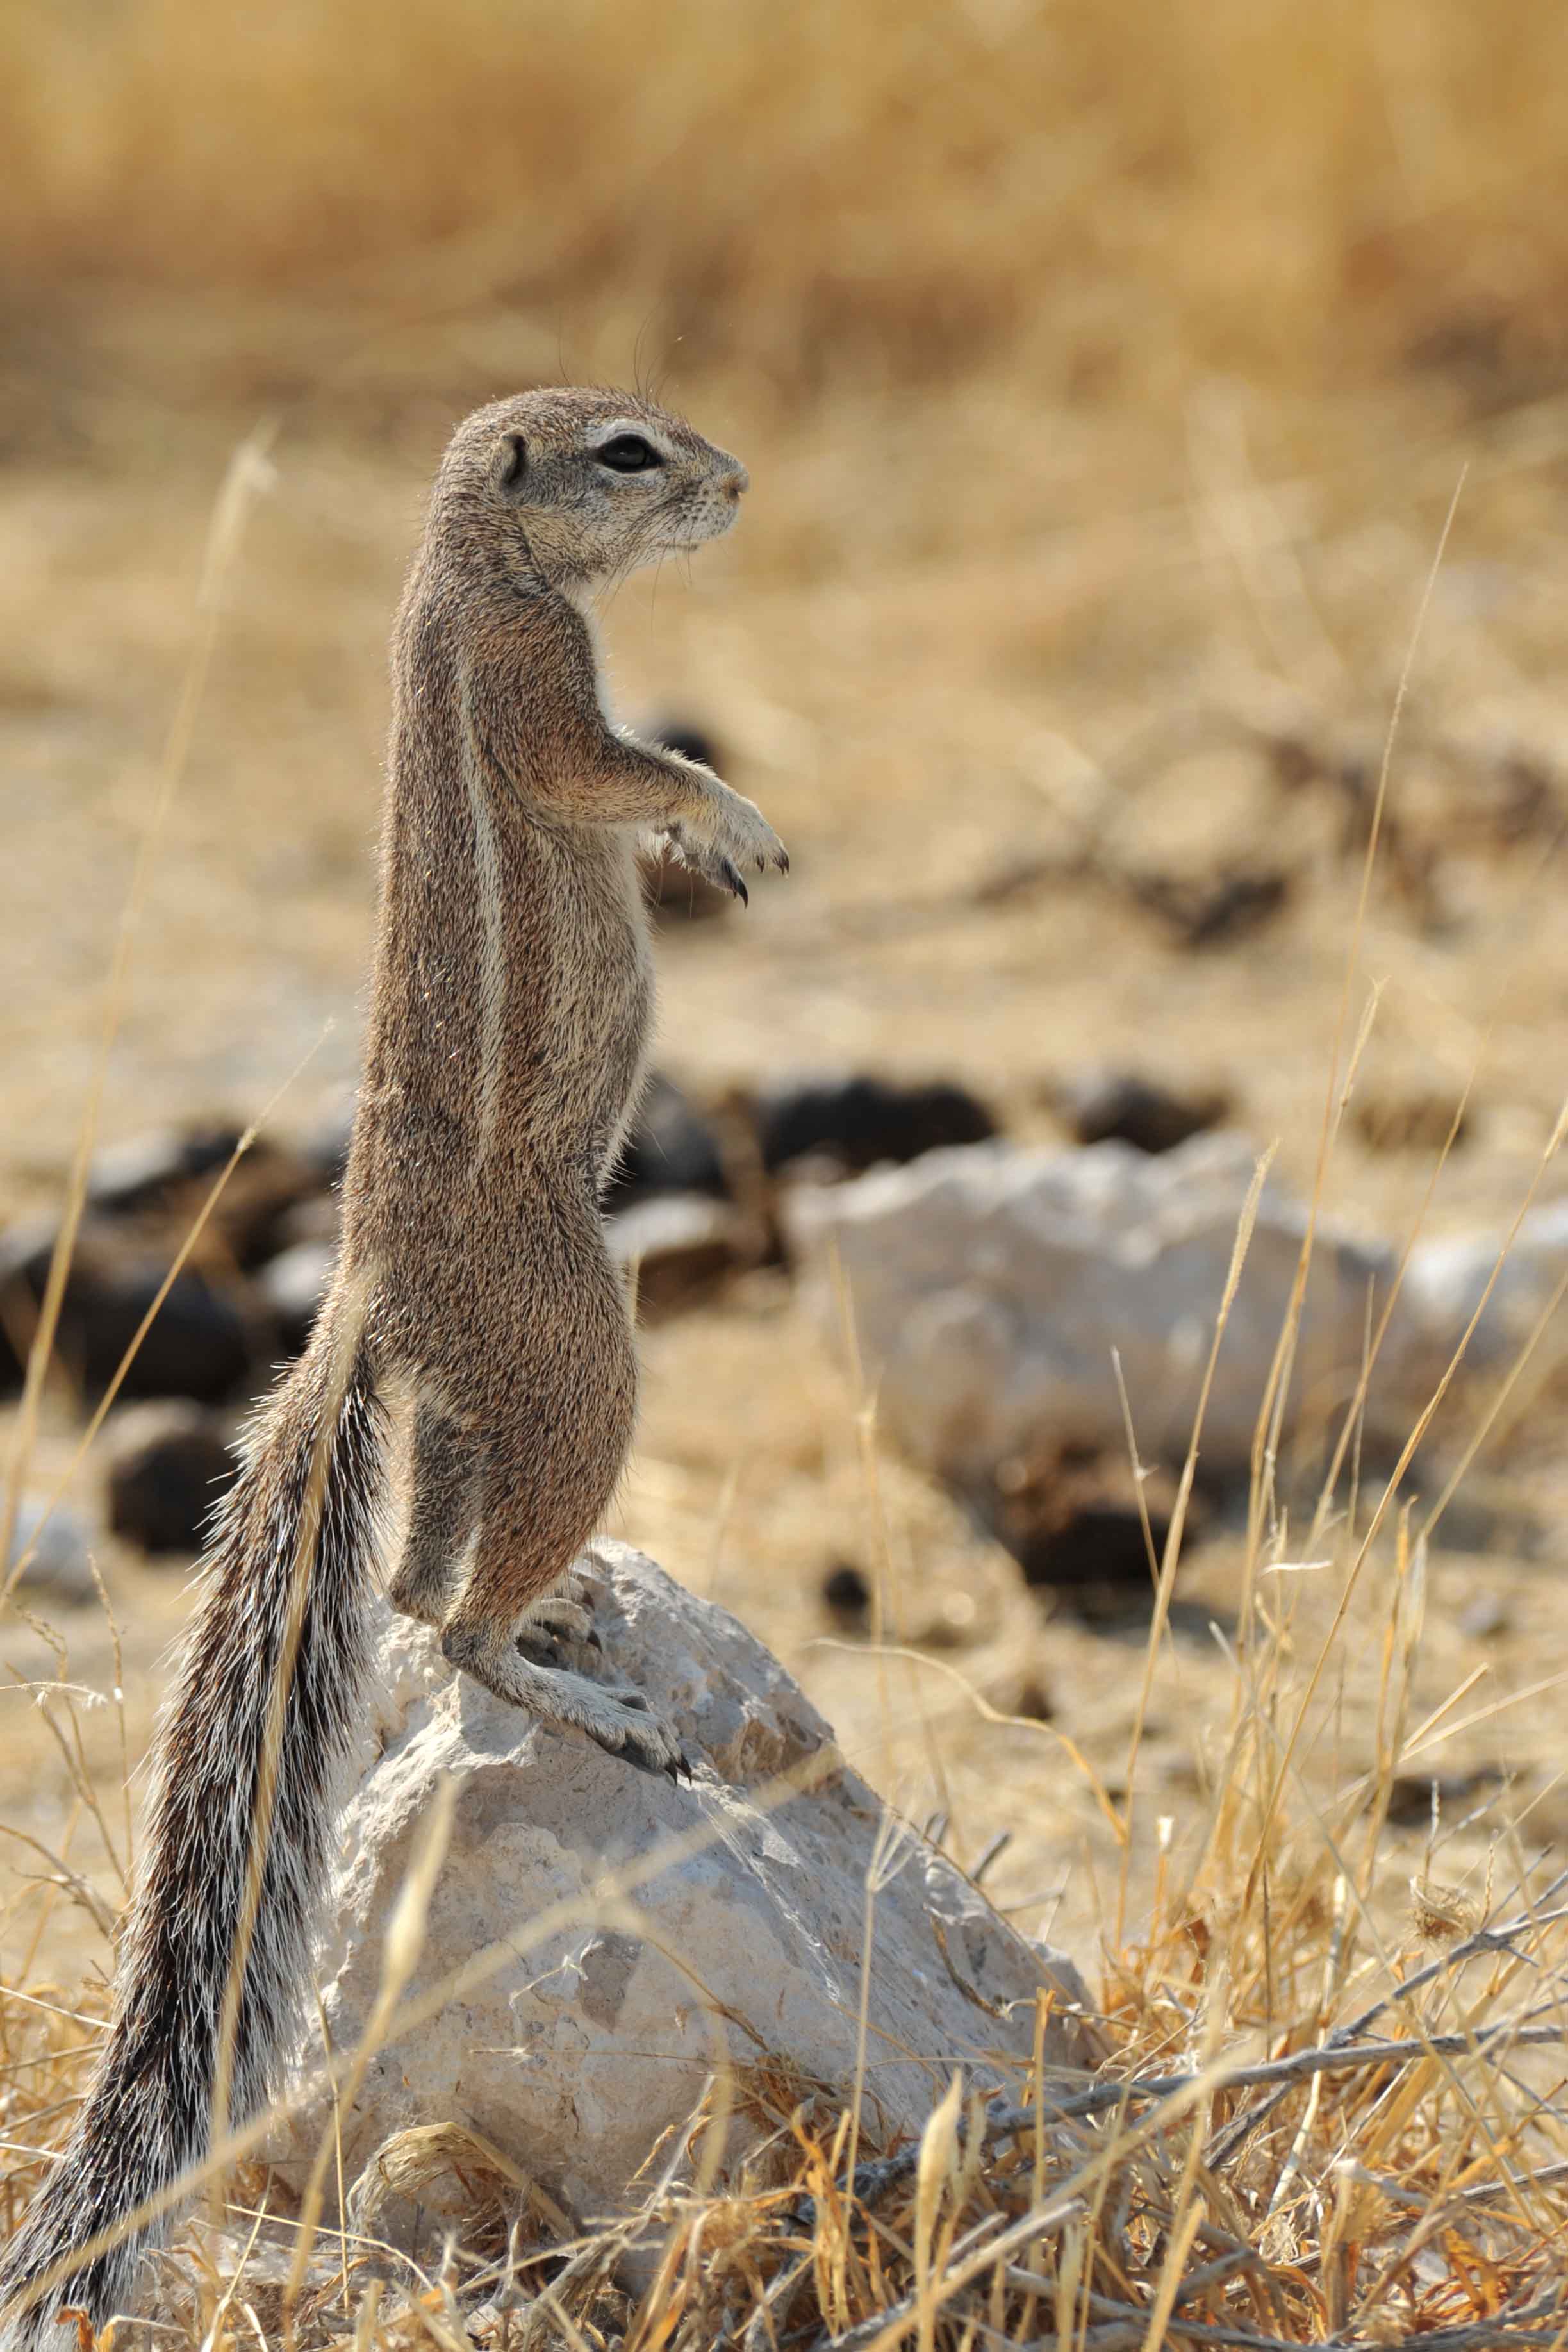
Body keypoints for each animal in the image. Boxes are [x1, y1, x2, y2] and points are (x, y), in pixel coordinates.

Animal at [0, 381, 785, 2333]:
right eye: (629, 452)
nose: (738, 485)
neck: (469, 568)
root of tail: (364, 1286)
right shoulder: (531, 682)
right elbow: (615, 765)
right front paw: (724, 817)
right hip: (579, 1350)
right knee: (452, 1620)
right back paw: (576, 1681)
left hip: (455, 1410)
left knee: (429, 1584)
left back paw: (565, 1606)